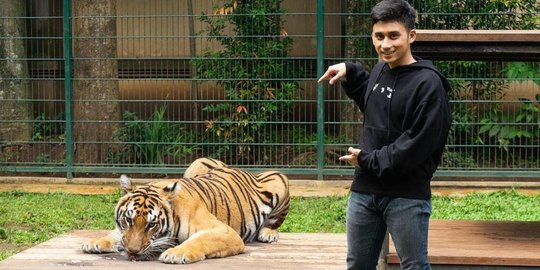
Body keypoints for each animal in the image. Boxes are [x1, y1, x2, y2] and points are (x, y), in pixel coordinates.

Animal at [80, 157, 288, 264]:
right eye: (129, 220)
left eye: (152, 224)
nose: (132, 252)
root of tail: (235, 167)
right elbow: (117, 234)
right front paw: (95, 242)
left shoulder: (225, 231)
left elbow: (199, 240)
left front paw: (176, 253)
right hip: (198, 161)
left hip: (279, 178)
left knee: (274, 222)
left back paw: (268, 233)